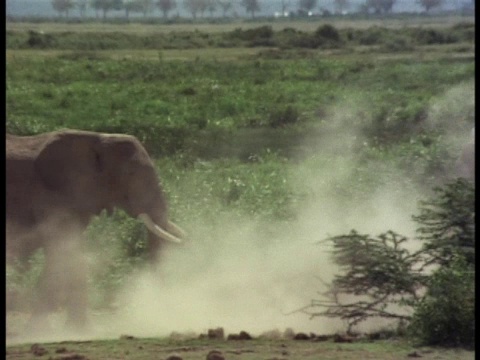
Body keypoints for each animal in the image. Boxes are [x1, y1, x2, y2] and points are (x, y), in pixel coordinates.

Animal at [6, 130, 186, 332]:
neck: (95, 138)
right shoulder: (50, 197)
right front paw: (38, 330)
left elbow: (75, 254)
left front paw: (80, 330)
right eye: (130, 173)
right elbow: (61, 254)